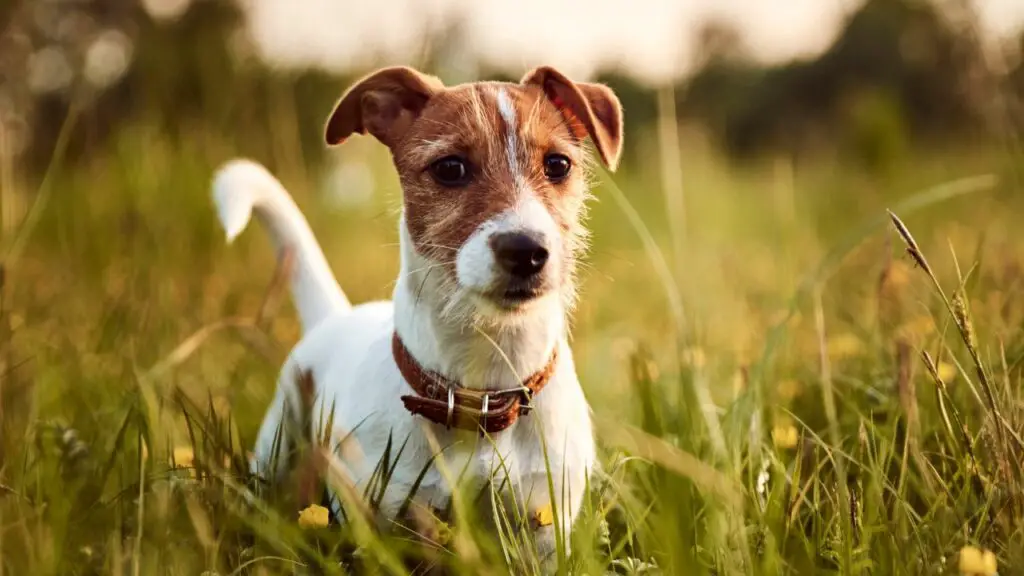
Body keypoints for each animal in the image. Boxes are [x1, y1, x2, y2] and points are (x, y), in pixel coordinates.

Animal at [215, 65, 622, 557]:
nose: (525, 250)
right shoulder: (386, 521)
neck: (483, 391)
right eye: (450, 168)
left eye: (558, 165)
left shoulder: (544, 524)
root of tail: (336, 315)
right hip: (277, 442)